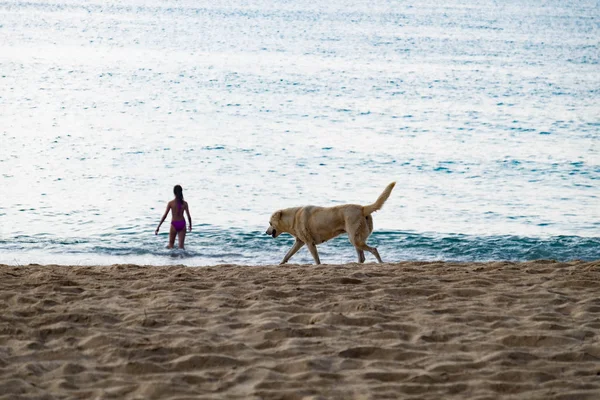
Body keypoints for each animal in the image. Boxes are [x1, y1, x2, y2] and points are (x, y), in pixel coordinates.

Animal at [266, 184, 396, 266]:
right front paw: (280, 264)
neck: (292, 218)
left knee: (374, 250)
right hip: (356, 239)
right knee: (362, 257)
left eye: (270, 223)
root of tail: (363, 208)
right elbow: (287, 255)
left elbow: (317, 259)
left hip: (355, 239)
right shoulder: (299, 242)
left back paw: (381, 263)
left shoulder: (309, 243)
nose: (266, 232)